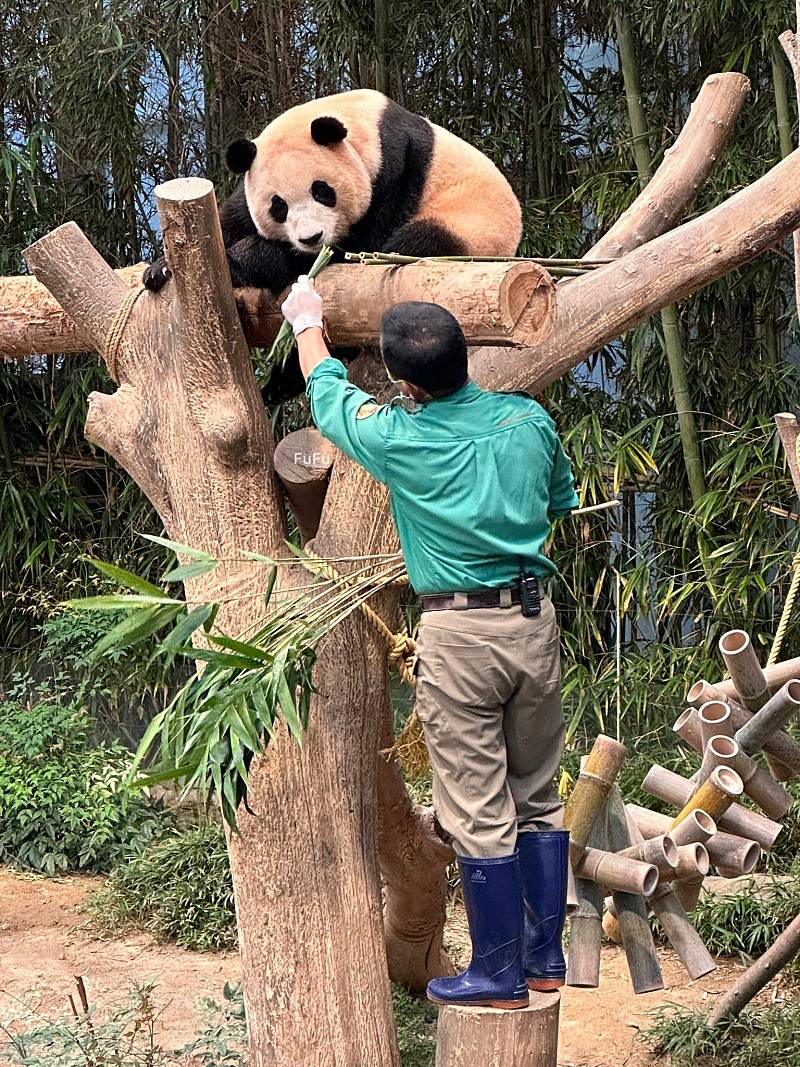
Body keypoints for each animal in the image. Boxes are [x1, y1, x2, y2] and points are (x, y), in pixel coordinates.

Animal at [142, 89, 526, 401]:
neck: (364, 123)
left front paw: (247, 261)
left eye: (322, 190)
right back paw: (277, 387)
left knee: (414, 243)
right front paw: (160, 269)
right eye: (278, 206)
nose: (311, 238)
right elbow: (234, 216)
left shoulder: (395, 173)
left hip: (465, 229)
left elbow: (352, 251)